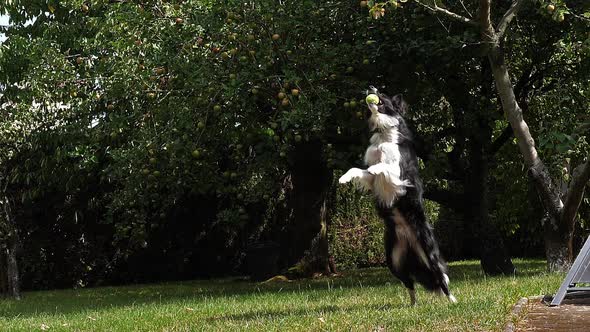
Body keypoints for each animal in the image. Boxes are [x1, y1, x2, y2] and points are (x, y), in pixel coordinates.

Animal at [338, 86, 458, 306]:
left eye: (383, 94)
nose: (370, 87)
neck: (384, 134)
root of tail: (408, 236)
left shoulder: (398, 175)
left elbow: (381, 166)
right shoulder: (371, 179)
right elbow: (359, 169)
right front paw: (343, 178)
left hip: (428, 251)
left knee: (440, 276)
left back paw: (452, 300)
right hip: (393, 261)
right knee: (409, 283)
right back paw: (413, 305)